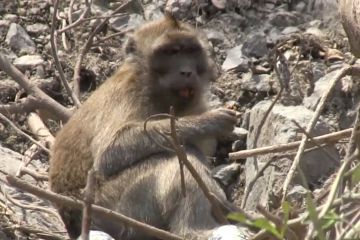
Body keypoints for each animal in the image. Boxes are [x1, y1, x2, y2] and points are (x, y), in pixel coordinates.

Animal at [48, 14, 239, 239]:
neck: (153, 86)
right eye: (170, 52)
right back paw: (195, 231)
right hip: (111, 208)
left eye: (190, 50)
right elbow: (109, 152)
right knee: (175, 158)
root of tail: (69, 213)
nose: (186, 71)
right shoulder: (128, 93)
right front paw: (211, 121)